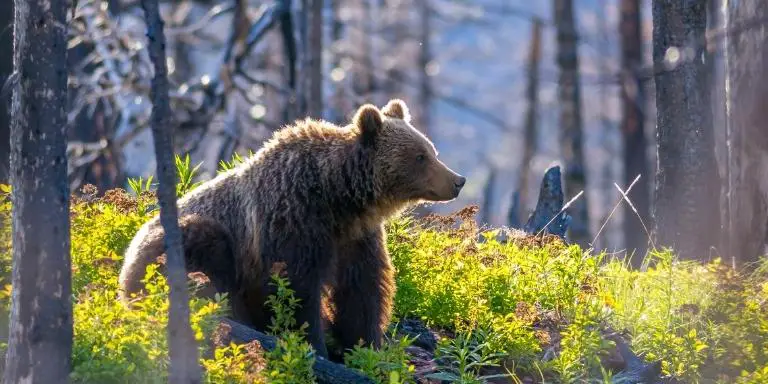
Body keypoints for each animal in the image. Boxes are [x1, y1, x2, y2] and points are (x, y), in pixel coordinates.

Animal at [117, 98, 464, 356]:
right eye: (420, 156)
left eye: (431, 150)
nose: (457, 180)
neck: (338, 196)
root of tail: (123, 266)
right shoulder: (292, 221)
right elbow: (294, 289)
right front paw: (314, 345)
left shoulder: (355, 237)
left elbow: (361, 289)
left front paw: (365, 346)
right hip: (180, 244)